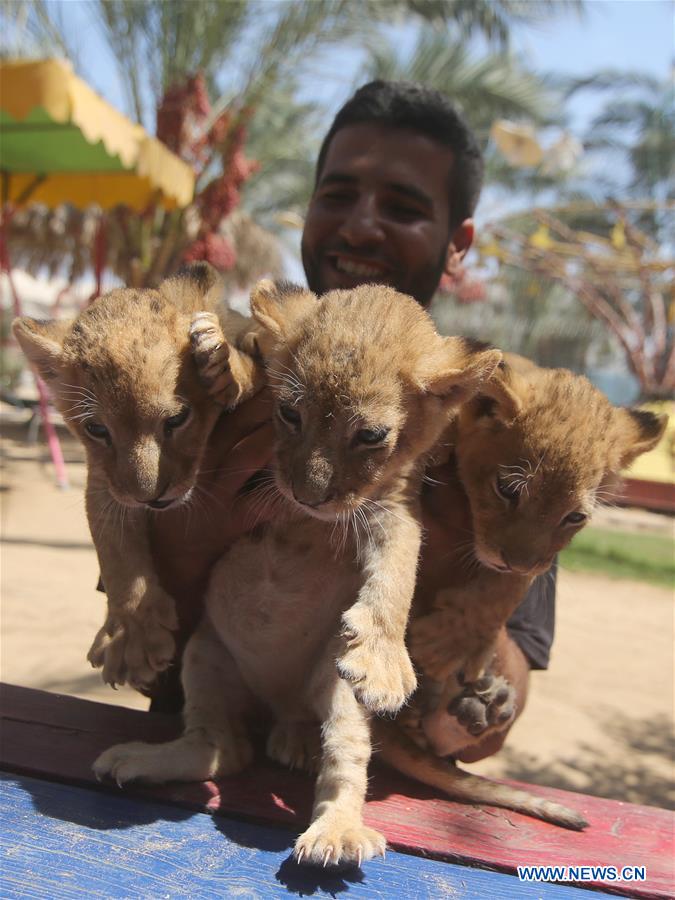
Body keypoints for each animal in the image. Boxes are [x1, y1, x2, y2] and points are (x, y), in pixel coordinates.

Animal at [12, 263, 260, 690]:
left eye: (177, 419)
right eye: (97, 430)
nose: (151, 498)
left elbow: (251, 367)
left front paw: (222, 364)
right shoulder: (107, 483)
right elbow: (115, 551)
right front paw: (133, 637)